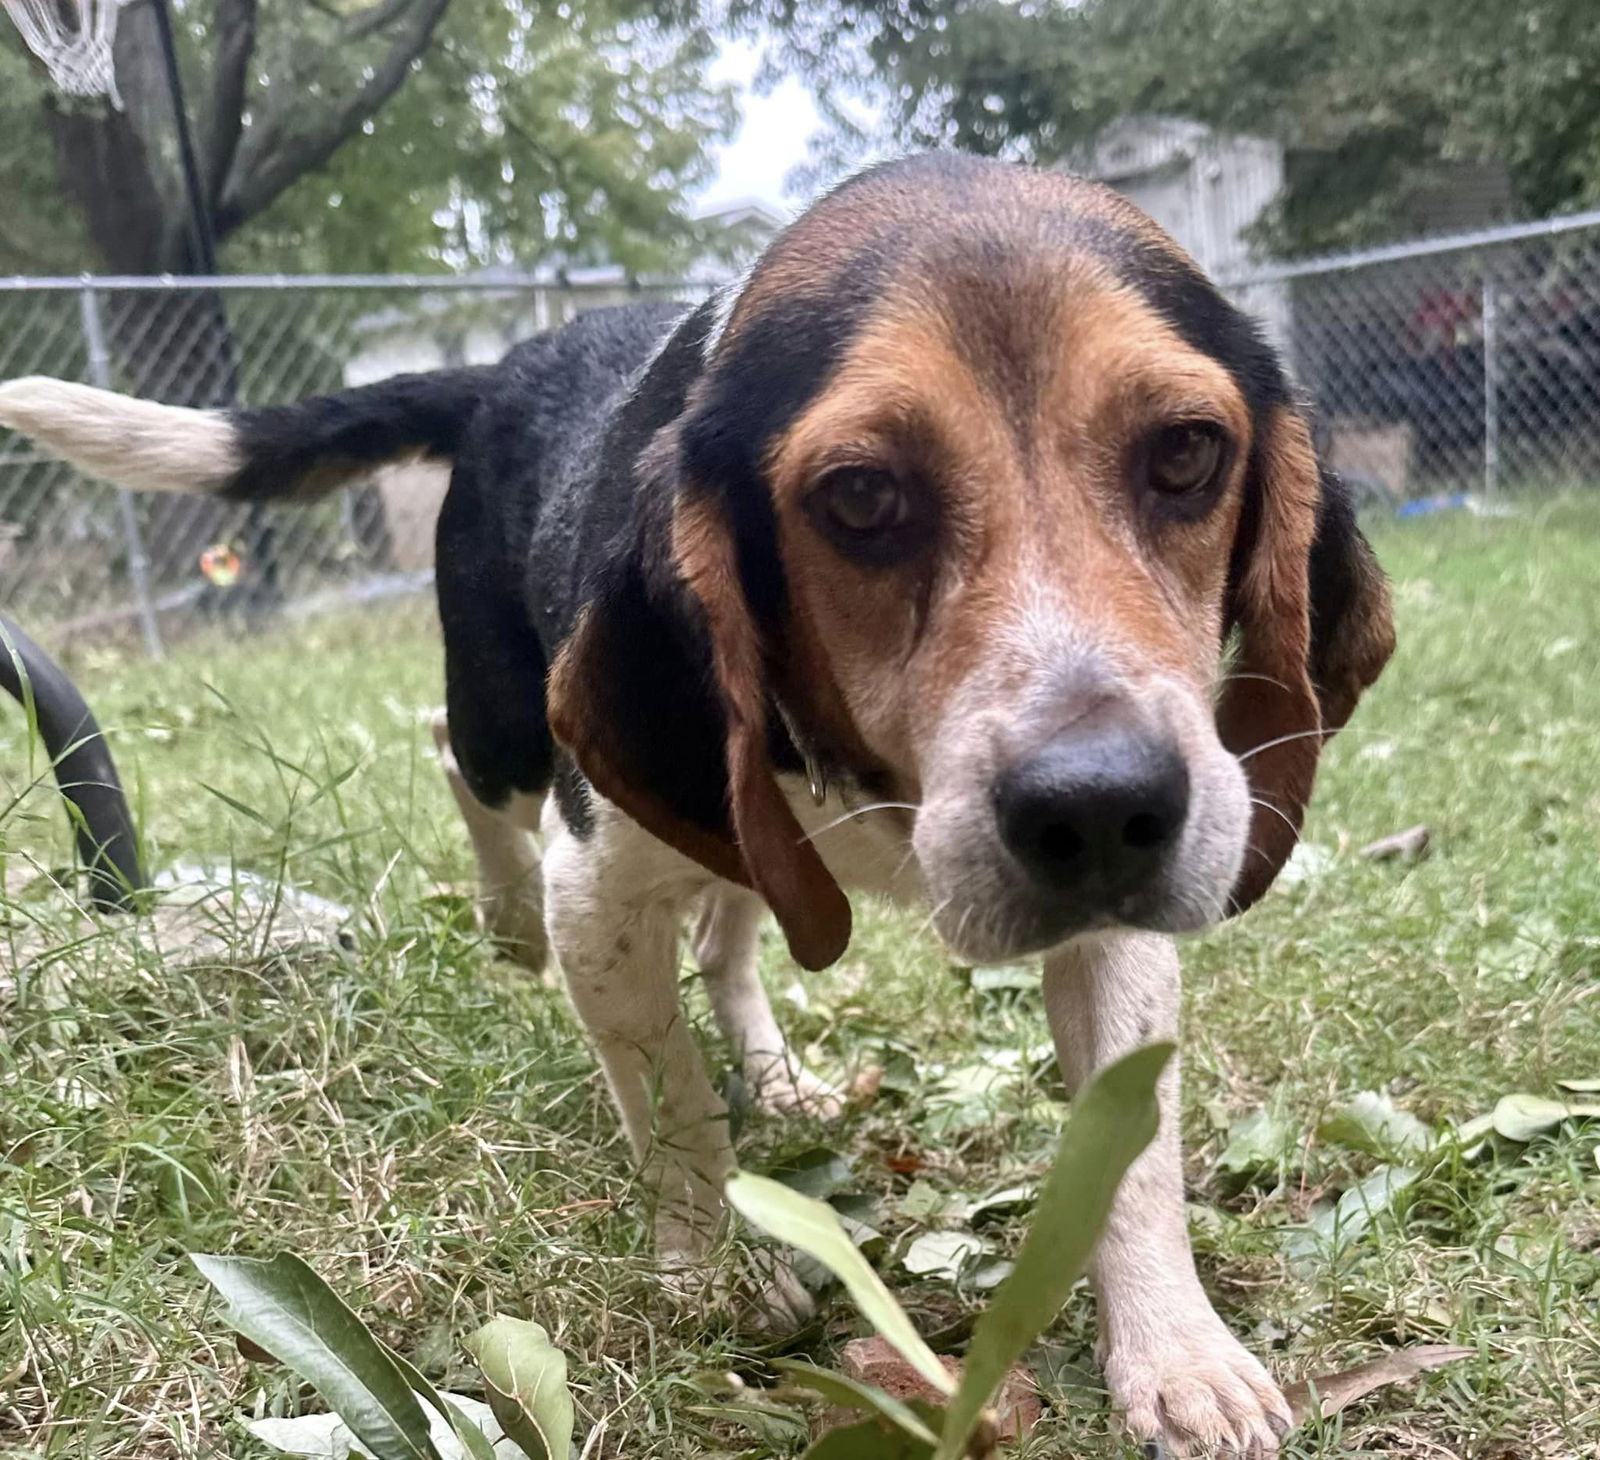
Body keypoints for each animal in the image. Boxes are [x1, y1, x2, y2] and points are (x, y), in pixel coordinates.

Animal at [0, 153, 1388, 1453]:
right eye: (861, 496)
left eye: (1187, 453)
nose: (1099, 808)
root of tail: (508, 362)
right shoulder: (600, 887)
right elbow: (668, 1098)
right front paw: (713, 1262)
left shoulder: (1111, 927)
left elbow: (1133, 1155)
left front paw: (1178, 1354)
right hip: (520, 735)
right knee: (461, 761)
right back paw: (507, 921)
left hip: (731, 839)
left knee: (728, 942)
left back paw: (777, 1074)